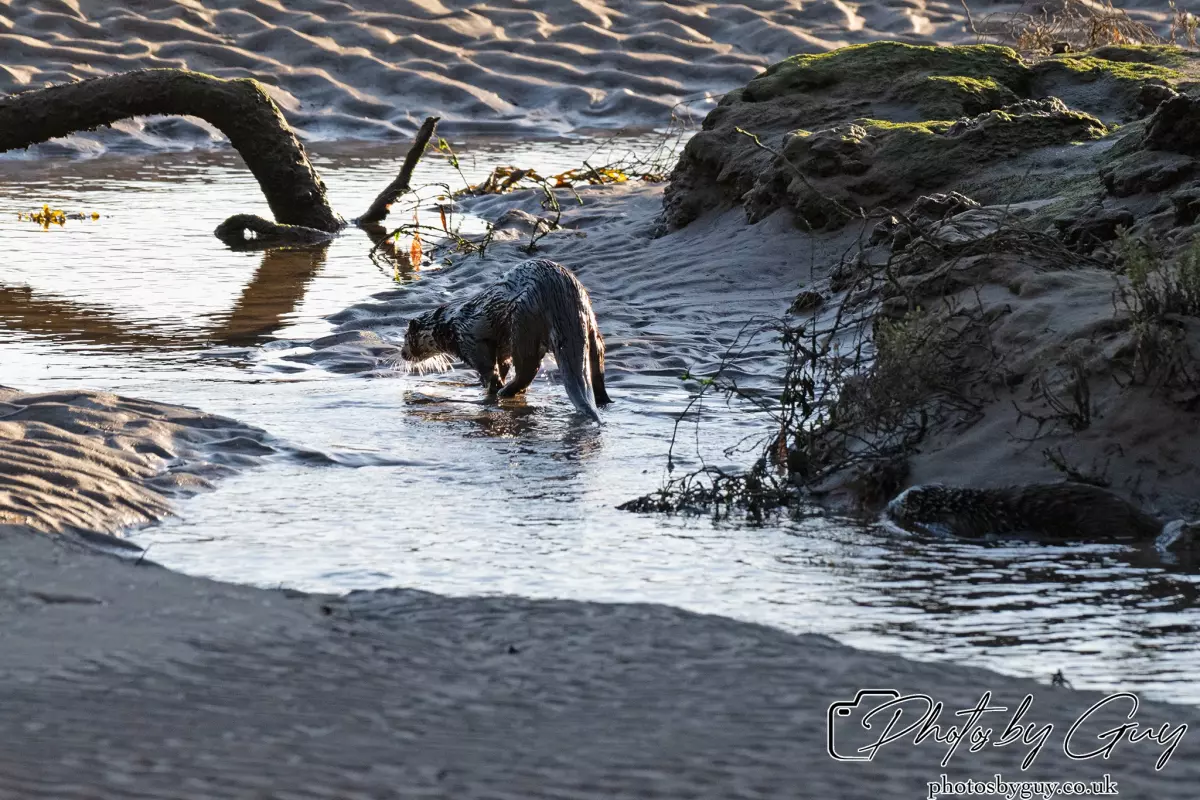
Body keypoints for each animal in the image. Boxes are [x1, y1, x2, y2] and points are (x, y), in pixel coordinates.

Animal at [399, 259, 611, 423]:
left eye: (406, 338)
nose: (402, 354)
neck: (452, 325)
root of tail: (562, 297)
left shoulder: (470, 340)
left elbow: (488, 369)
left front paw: (493, 388)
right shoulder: (501, 349)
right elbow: (502, 365)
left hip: (522, 323)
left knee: (528, 367)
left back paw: (506, 392)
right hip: (591, 325)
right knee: (597, 361)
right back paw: (603, 398)